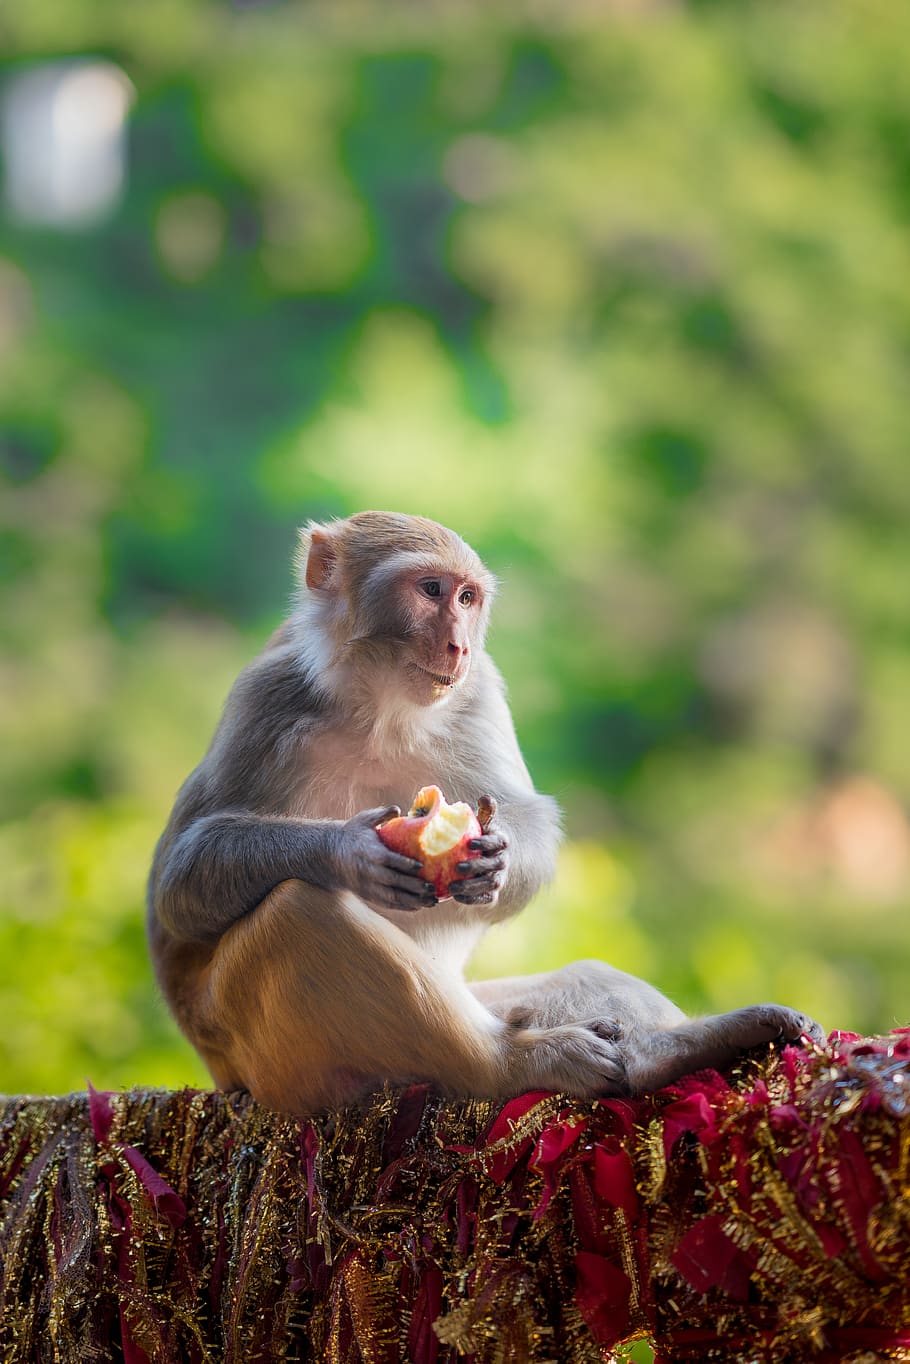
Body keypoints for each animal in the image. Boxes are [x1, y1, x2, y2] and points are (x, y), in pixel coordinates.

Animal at [147, 511, 823, 1116]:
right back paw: (514, 1064)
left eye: (468, 597)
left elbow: (530, 822)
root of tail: (222, 1072)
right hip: (269, 1061)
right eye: (430, 590)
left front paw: (494, 861)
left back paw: (668, 1050)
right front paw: (349, 851)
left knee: (575, 980)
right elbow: (179, 886)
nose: (459, 644)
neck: (379, 711)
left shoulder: (478, 691)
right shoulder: (268, 696)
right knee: (297, 913)